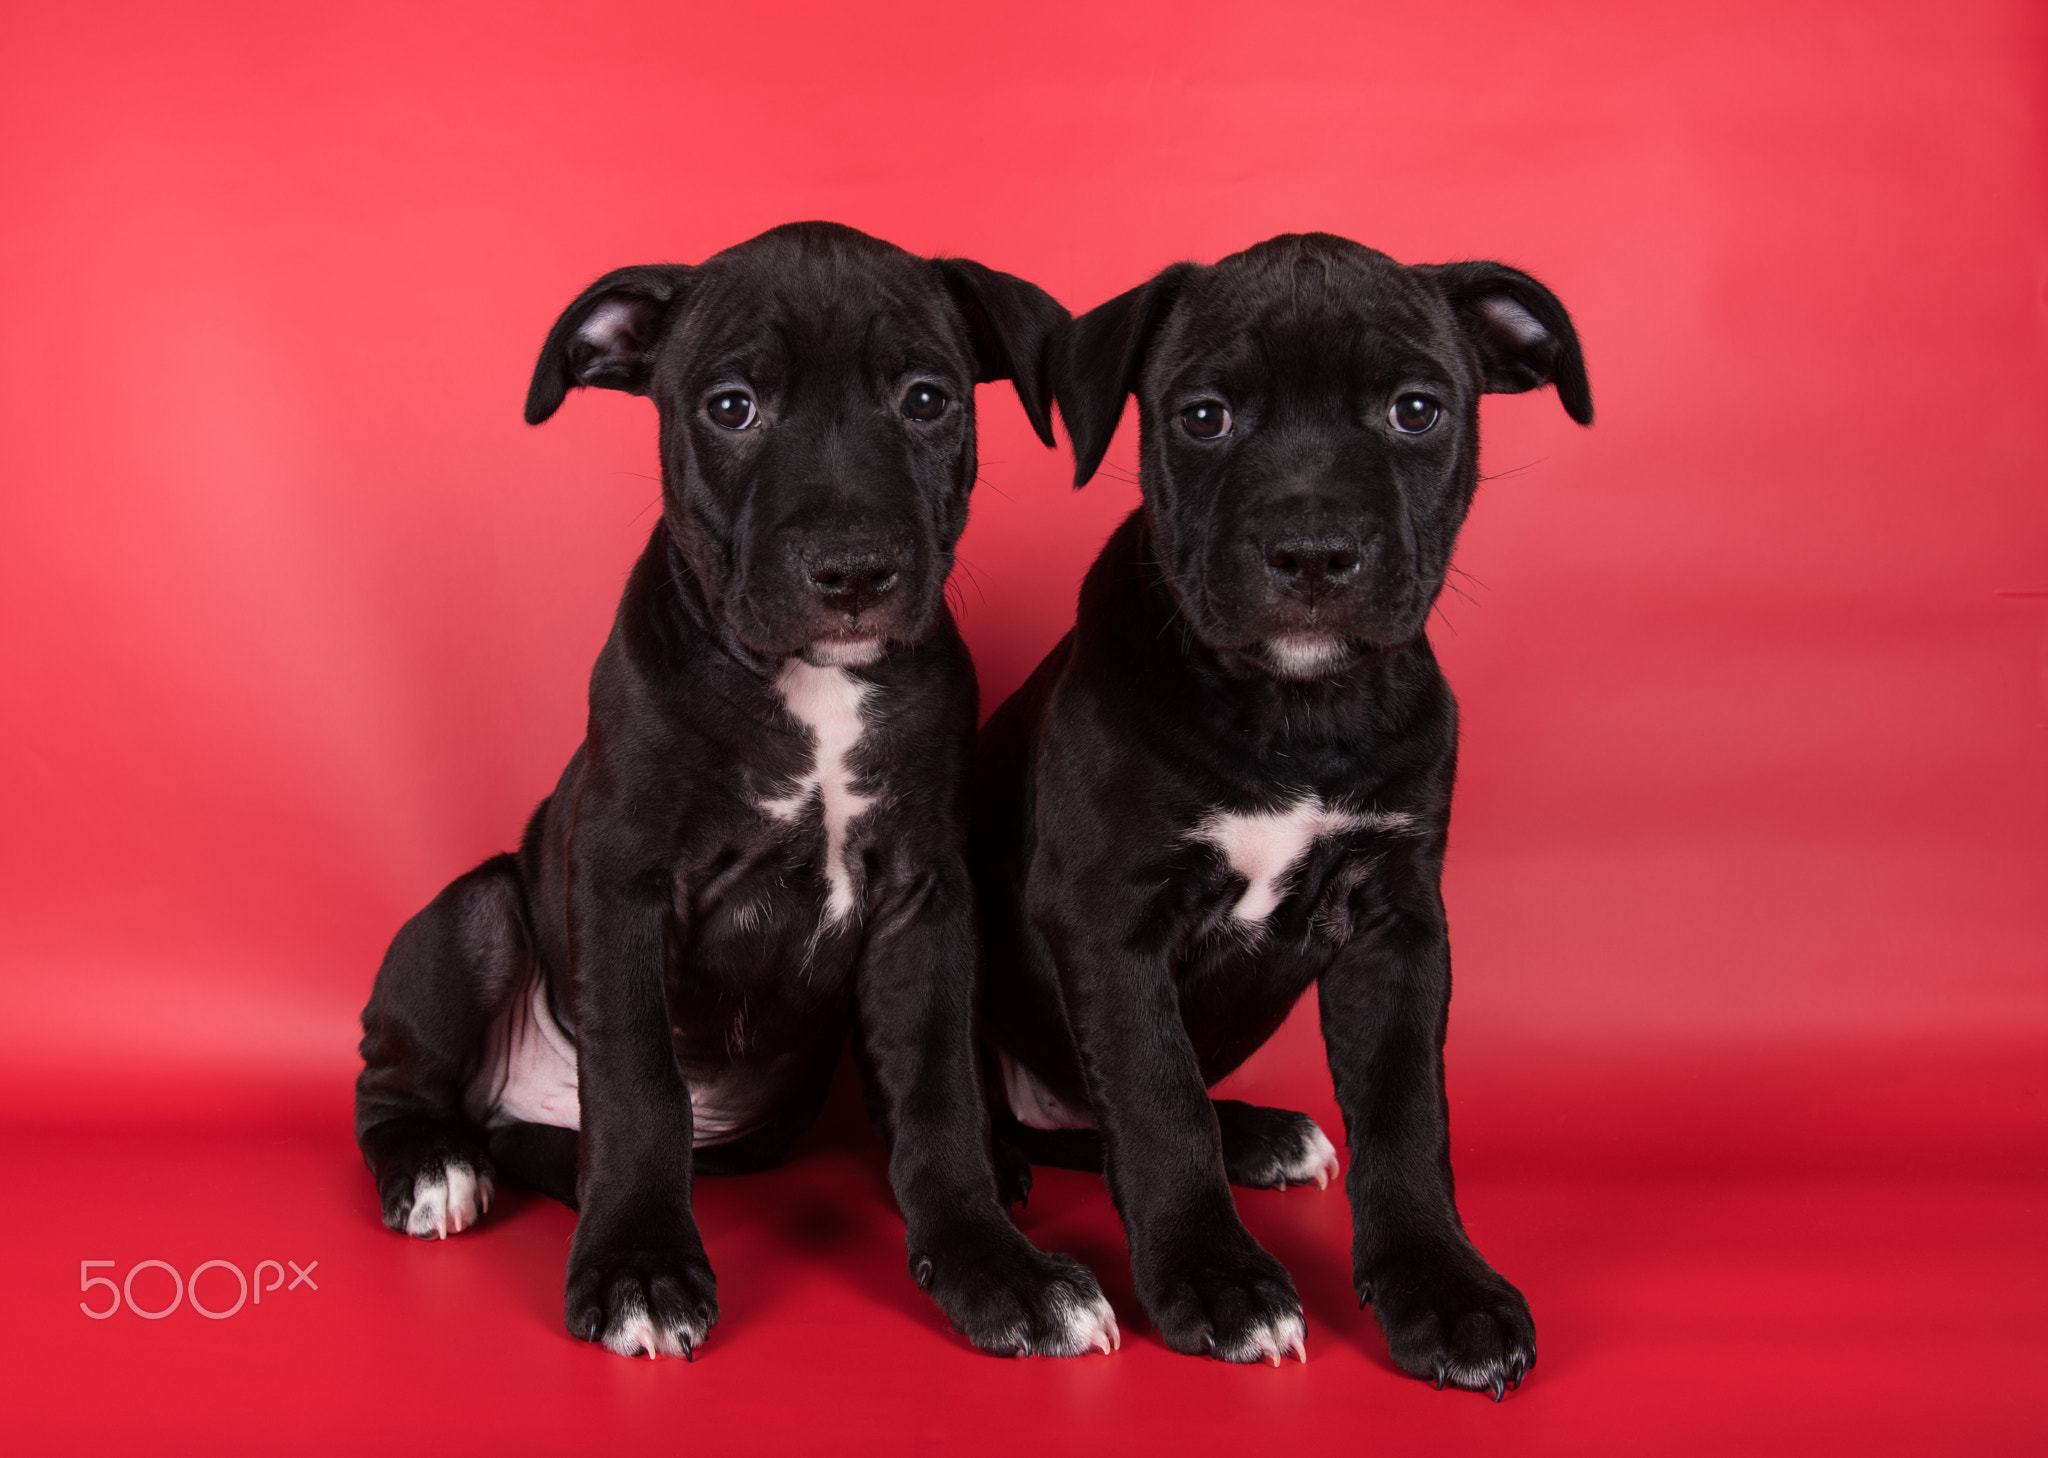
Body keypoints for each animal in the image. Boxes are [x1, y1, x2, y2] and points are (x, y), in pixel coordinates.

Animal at [356, 222, 1122, 1359]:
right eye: (730, 408)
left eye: (926, 399)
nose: (853, 570)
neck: (812, 684)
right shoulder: (624, 884)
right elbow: (639, 1089)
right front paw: (637, 1266)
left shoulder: (924, 901)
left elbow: (937, 1094)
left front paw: (994, 1267)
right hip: (474, 914)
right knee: (398, 1075)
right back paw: (432, 1166)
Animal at [966, 233, 1589, 1392]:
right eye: (1203, 415)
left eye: (1415, 410)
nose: (1310, 550)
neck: (1295, 713)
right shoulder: (1109, 920)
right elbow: (1157, 1102)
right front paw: (1213, 1283)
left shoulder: (1396, 924)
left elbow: (1407, 1111)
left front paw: (1441, 1287)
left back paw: (1252, 1137)